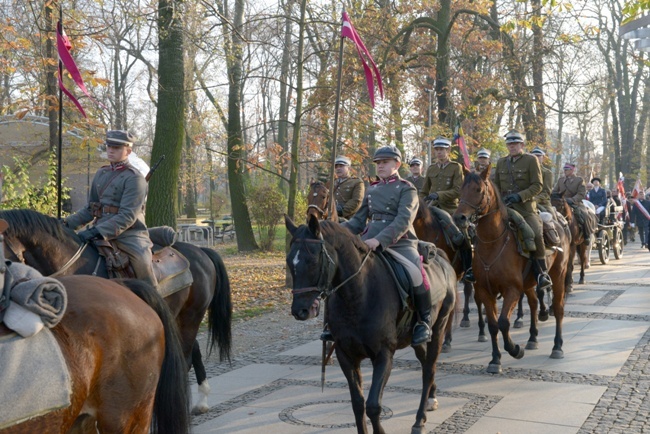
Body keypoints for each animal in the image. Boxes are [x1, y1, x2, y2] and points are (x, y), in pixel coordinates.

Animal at [286, 217, 454, 434]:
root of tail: (441, 256)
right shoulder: (346, 355)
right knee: (425, 363)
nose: (300, 311)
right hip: (414, 339)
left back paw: (419, 420)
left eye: (313, 261)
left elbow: (373, 405)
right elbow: (358, 403)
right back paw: (431, 398)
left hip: (439, 328)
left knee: (429, 370)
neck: (358, 294)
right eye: (289, 261)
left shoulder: (383, 355)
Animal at [450, 168, 568, 374]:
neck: (493, 244)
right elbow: (493, 325)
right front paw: (495, 360)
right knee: (534, 303)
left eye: (478, 190)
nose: (459, 218)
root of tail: (558, 223)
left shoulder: (511, 290)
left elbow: (504, 322)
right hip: (528, 283)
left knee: (559, 308)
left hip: (558, 275)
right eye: (461, 189)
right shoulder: (485, 291)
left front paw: (514, 349)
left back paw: (557, 347)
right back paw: (533, 338)